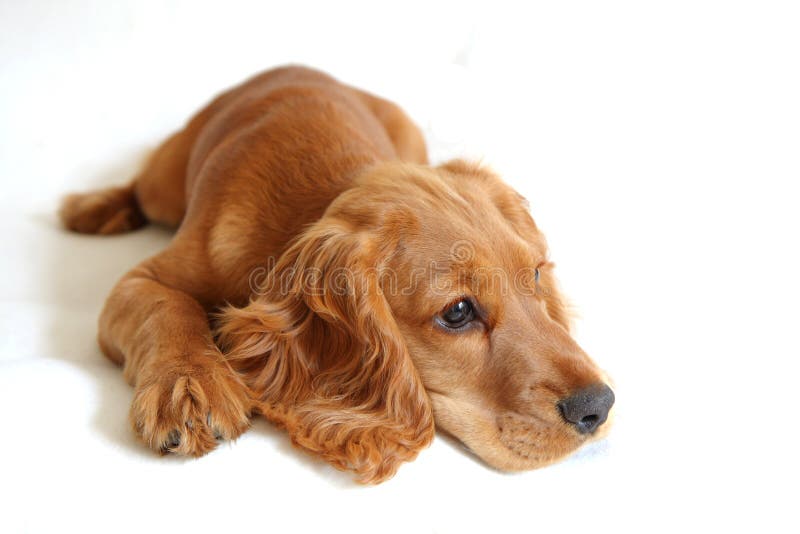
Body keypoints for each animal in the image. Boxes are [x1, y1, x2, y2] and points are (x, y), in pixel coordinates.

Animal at [61, 65, 612, 484]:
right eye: (457, 312)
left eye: (535, 275)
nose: (599, 405)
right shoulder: (140, 280)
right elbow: (167, 305)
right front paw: (189, 384)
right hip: (168, 180)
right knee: (140, 182)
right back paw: (94, 207)